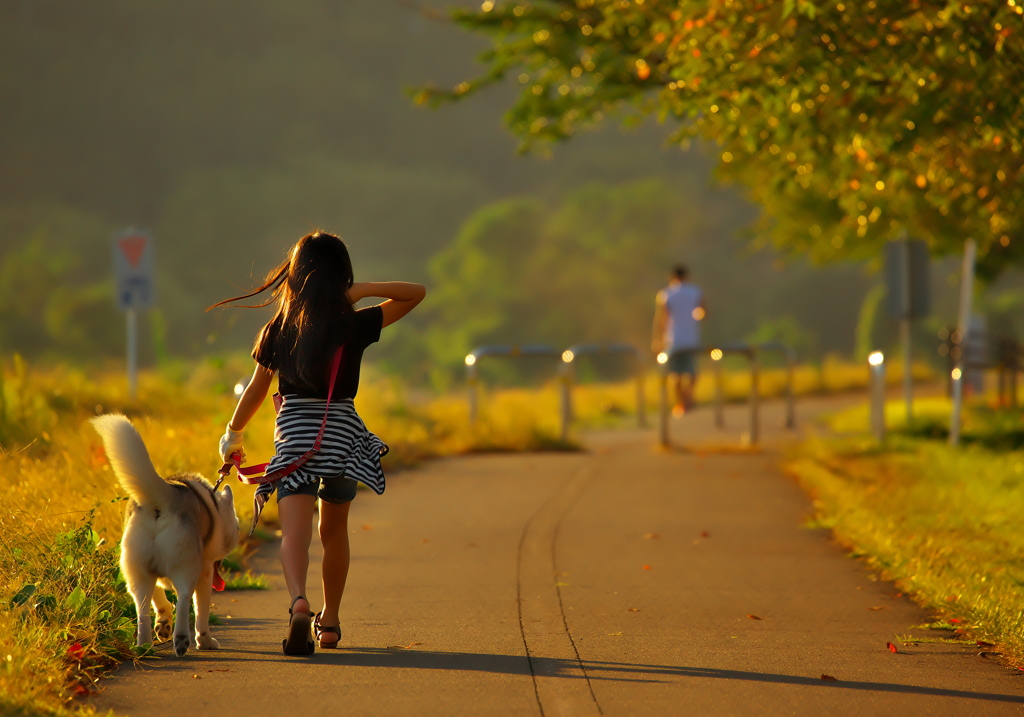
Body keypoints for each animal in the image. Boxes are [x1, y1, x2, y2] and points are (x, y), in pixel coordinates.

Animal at [92, 413, 239, 655]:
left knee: (142, 609)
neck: (216, 508)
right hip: (188, 568)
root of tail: (162, 499)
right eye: (237, 528)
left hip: (135, 573)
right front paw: (205, 640)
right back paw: (181, 639)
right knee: (184, 599)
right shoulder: (206, 570)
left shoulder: (151, 573)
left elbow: (159, 599)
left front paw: (163, 622)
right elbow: (201, 609)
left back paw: (145, 645)